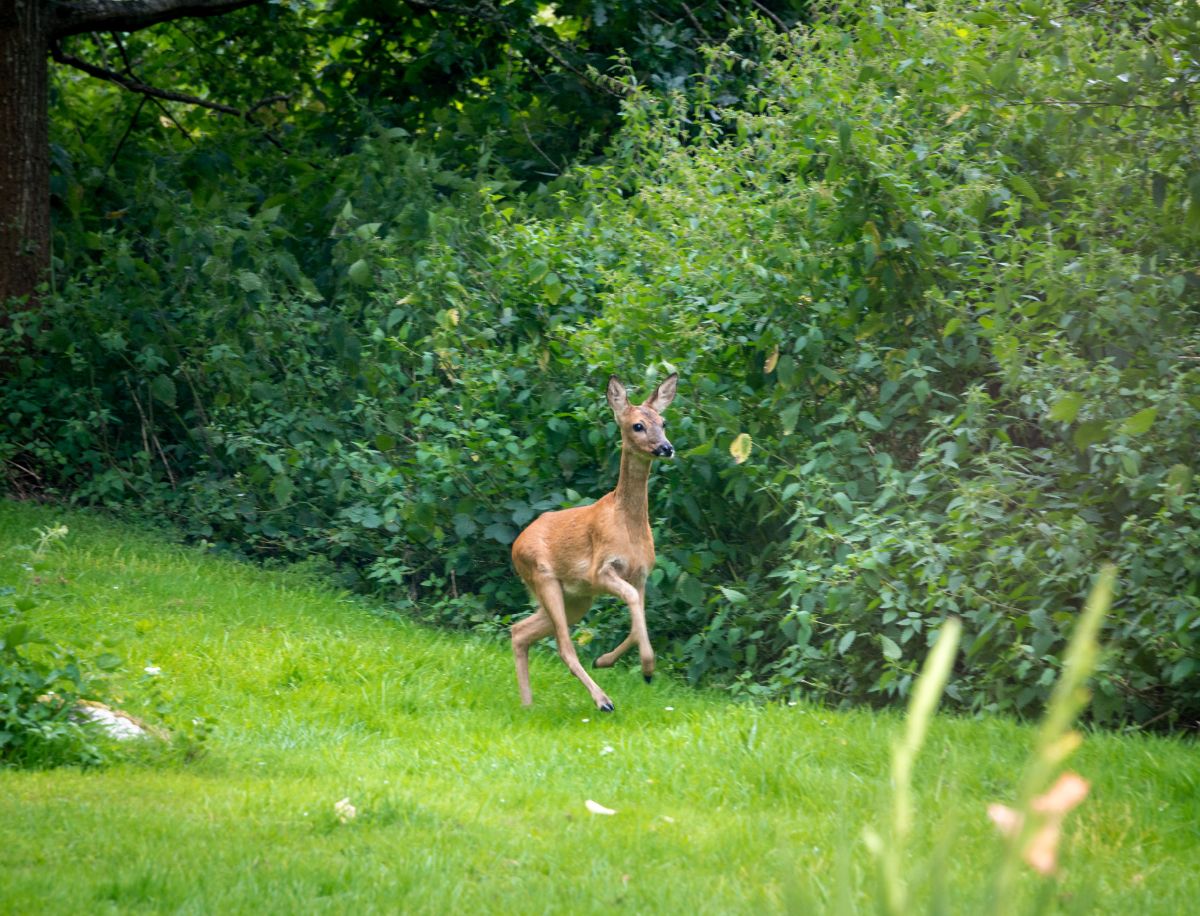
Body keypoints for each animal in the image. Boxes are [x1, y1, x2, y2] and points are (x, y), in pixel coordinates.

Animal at [511, 374, 681, 715]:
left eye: (664, 422)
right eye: (637, 425)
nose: (666, 448)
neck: (628, 527)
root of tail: (515, 545)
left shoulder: (641, 575)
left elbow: (638, 620)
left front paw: (606, 661)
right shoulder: (600, 570)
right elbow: (633, 605)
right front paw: (646, 668)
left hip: (576, 599)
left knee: (519, 631)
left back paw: (528, 705)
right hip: (544, 577)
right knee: (563, 645)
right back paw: (603, 701)